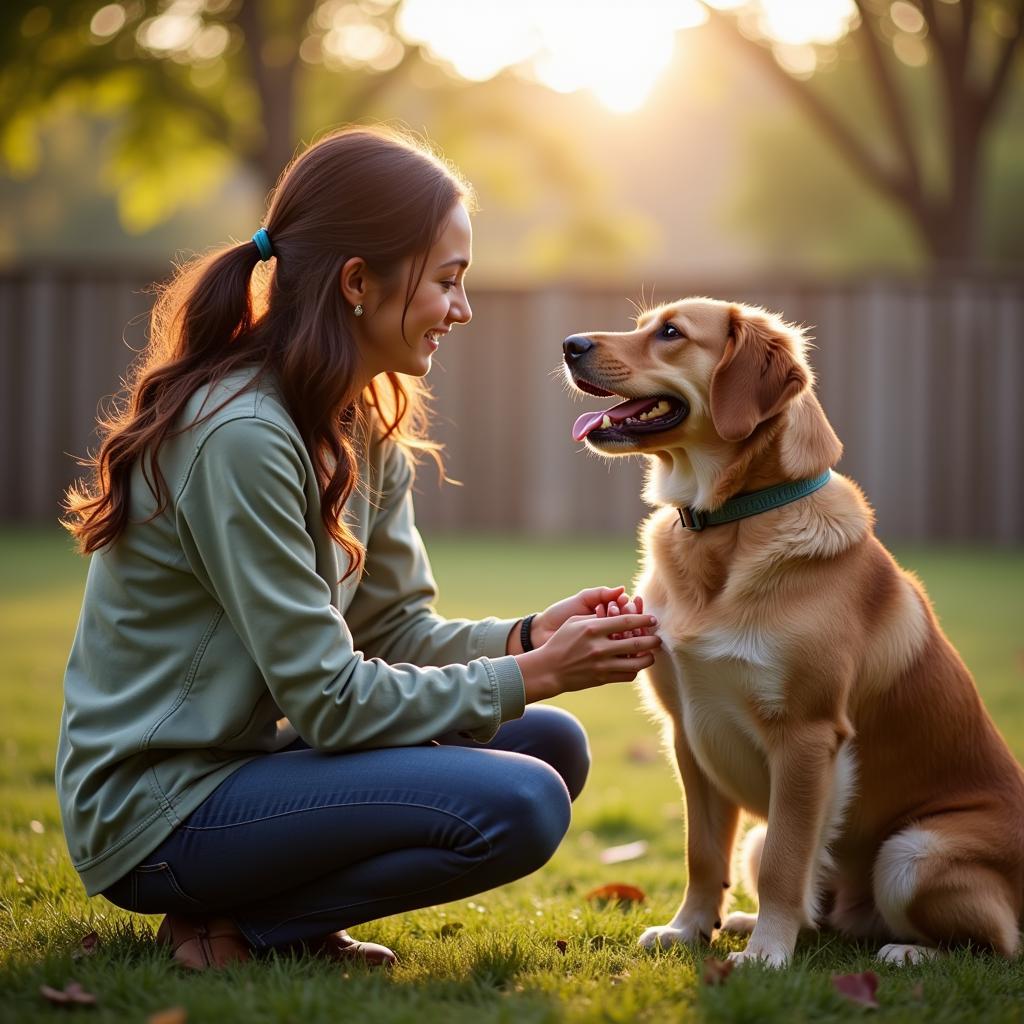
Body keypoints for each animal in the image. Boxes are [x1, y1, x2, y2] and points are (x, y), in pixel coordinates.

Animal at [565, 299, 1019, 966]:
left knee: (997, 942)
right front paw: (689, 929)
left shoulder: (806, 737)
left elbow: (786, 859)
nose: (569, 344)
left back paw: (907, 952)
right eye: (644, 323)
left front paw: (765, 959)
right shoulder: (687, 733)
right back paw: (753, 922)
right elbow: (703, 853)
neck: (726, 524)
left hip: (913, 853)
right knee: (819, 911)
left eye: (671, 333)